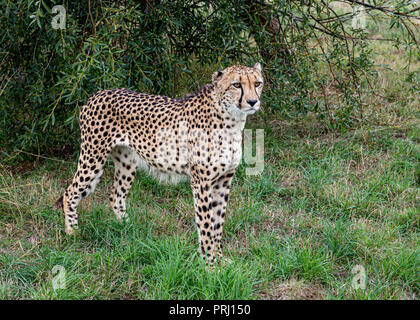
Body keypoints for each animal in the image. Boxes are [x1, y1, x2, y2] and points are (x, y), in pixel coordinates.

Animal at [57, 63, 264, 264]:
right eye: (236, 85)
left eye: (257, 83)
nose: (253, 102)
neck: (231, 119)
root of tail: (98, 93)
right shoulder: (201, 182)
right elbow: (206, 224)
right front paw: (210, 264)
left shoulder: (223, 181)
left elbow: (218, 223)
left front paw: (220, 258)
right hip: (93, 157)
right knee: (70, 192)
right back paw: (72, 231)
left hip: (127, 162)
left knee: (115, 195)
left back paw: (127, 228)